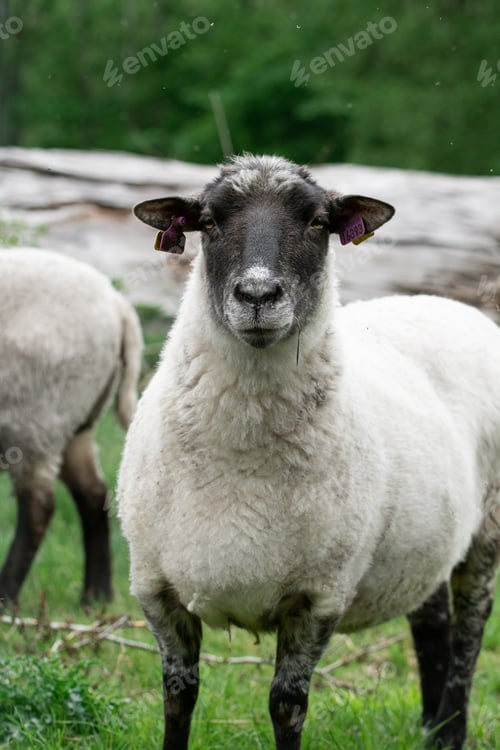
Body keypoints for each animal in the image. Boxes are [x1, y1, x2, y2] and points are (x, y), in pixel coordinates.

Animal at [0, 247, 142, 607]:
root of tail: (118, 305)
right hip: (74, 421)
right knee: (93, 494)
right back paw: (96, 596)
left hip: (34, 416)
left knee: (38, 508)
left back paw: (6, 597)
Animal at [118, 154, 500, 750]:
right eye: (209, 222)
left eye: (318, 222)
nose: (257, 296)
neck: (242, 456)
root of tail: (445, 303)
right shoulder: (157, 590)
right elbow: (178, 698)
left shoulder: (319, 597)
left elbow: (286, 705)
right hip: (427, 532)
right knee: (431, 619)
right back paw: (430, 725)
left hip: (487, 526)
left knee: (470, 627)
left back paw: (450, 731)